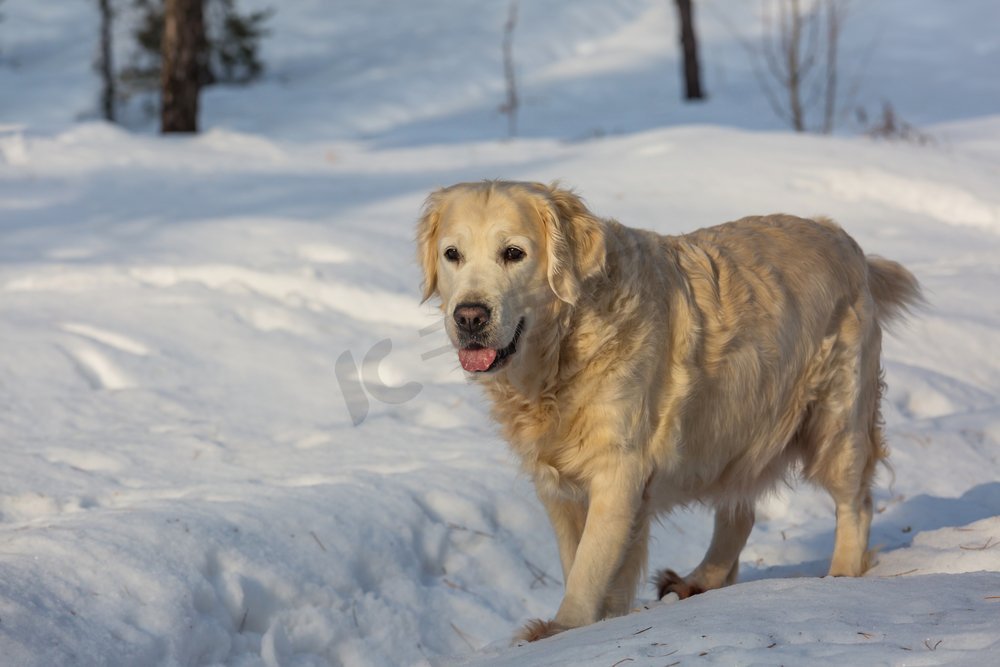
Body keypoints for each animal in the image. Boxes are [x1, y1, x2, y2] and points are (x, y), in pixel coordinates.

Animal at [414, 180, 920, 640]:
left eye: (514, 253)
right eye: (452, 254)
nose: (470, 316)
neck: (565, 346)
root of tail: (841, 237)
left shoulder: (619, 471)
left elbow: (589, 564)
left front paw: (564, 629)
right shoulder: (556, 483)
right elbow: (578, 556)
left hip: (835, 421)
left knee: (856, 503)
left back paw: (840, 575)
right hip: (737, 423)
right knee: (740, 513)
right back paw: (699, 580)